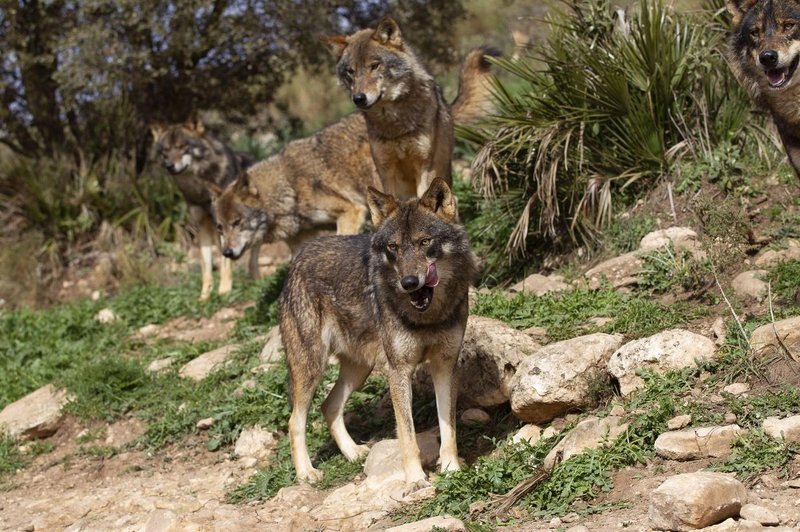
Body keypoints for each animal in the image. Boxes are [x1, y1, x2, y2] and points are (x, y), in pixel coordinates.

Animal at [152, 118, 258, 300]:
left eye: (182, 146)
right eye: (166, 150)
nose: (169, 166)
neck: (200, 189)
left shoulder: (225, 224)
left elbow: (225, 262)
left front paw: (224, 291)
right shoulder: (202, 225)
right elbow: (206, 265)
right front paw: (205, 296)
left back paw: (256, 279)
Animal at [280, 179, 476, 490]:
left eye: (424, 242)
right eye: (393, 247)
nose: (409, 282)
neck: (427, 316)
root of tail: (299, 257)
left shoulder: (445, 366)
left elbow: (449, 428)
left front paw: (451, 469)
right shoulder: (399, 371)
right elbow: (407, 435)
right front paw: (415, 479)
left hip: (360, 369)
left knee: (328, 405)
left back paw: (352, 453)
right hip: (311, 368)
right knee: (294, 421)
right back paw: (306, 473)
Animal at [322, 18, 496, 200]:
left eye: (374, 66)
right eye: (350, 72)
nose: (358, 98)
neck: (394, 124)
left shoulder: (425, 167)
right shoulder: (386, 171)